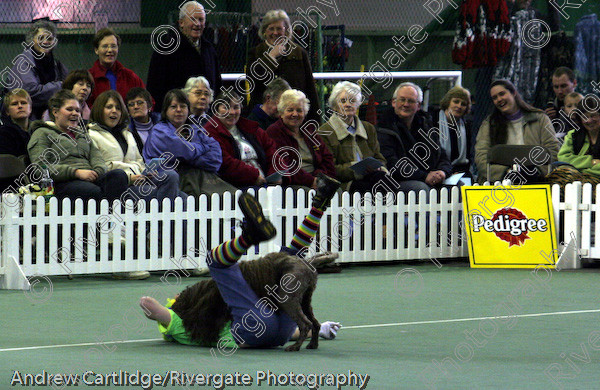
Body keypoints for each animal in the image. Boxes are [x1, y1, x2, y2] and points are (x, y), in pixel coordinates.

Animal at [171, 251, 338, 352]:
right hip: (305, 301)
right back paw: (312, 344)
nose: (173, 307)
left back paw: (295, 347)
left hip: (288, 299)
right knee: (315, 324)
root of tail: (307, 264)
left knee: (305, 324)